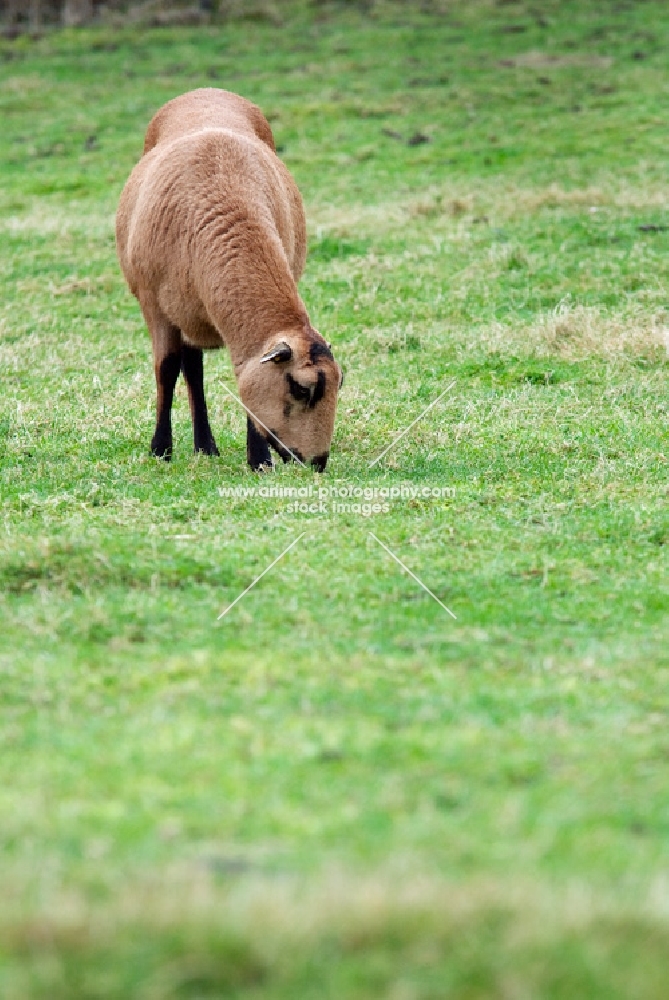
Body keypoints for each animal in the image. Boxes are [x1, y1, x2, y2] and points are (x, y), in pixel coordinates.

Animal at [114, 87, 340, 472]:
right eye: (301, 388)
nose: (318, 463)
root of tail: (205, 91)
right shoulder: (153, 304)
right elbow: (165, 368)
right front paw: (160, 450)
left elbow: (241, 376)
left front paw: (259, 461)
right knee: (189, 368)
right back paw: (203, 445)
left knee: (194, 368)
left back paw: (206, 446)